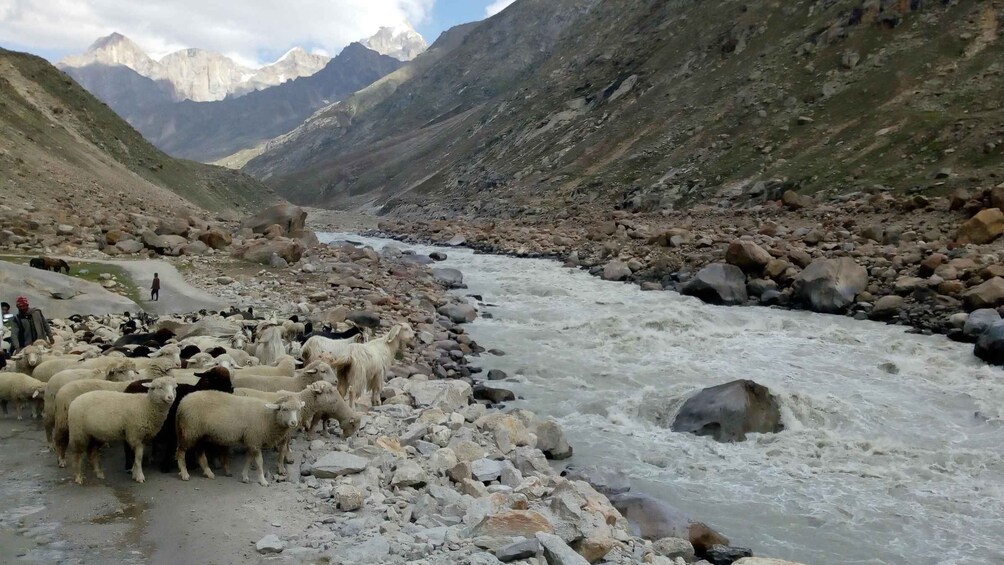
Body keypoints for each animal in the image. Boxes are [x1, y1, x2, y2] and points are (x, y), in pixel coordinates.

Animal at [174, 391, 303, 487]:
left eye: (298, 410)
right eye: (284, 409)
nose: (294, 422)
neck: (269, 418)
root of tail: (182, 402)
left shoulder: (251, 441)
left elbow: (248, 460)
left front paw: (245, 477)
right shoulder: (255, 441)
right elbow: (259, 462)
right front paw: (263, 480)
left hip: (201, 435)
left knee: (199, 453)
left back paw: (208, 472)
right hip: (189, 431)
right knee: (180, 452)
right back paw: (185, 474)